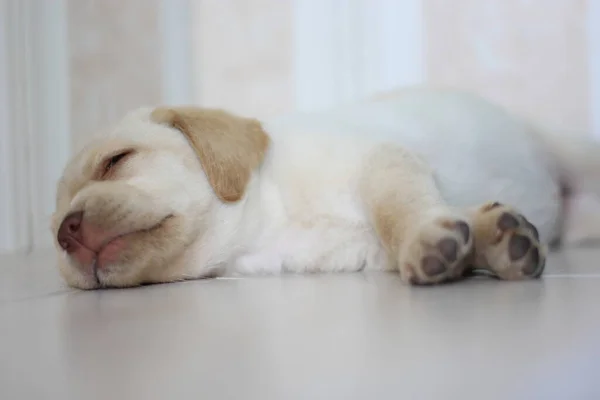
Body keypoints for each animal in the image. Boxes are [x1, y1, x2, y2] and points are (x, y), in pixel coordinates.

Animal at [51, 86, 600, 290]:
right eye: (55, 222)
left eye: (117, 161)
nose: (65, 232)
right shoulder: (365, 253)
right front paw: (492, 236)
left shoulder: (382, 159)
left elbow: (397, 208)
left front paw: (431, 238)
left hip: (574, 149)